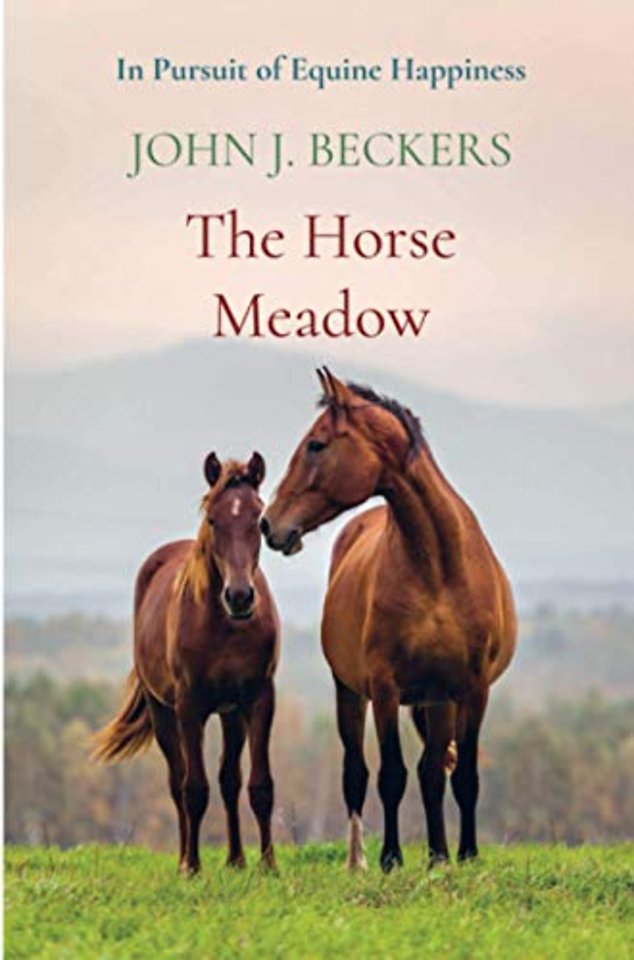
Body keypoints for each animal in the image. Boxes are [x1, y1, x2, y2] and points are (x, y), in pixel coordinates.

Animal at [93, 452, 280, 875]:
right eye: (212, 519)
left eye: (258, 518)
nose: (240, 597)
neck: (226, 626)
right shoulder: (189, 706)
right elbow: (193, 789)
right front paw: (192, 866)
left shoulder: (259, 699)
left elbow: (259, 785)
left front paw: (268, 866)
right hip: (163, 712)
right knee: (177, 782)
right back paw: (184, 858)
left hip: (230, 714)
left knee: (229, 780)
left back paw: (236, 859)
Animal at [261, 369, 516, 872]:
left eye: (317, 444)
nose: (269, 524)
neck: (438, 567)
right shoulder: (383, 686)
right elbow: (391, 775)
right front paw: (391, 858)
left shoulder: (471, 688)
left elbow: (462, 776)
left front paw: (464, 855)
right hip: (350, 693)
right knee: (356, 773)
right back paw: (358, 860)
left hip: (439, 700)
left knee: (433, 771)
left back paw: (439, 855)